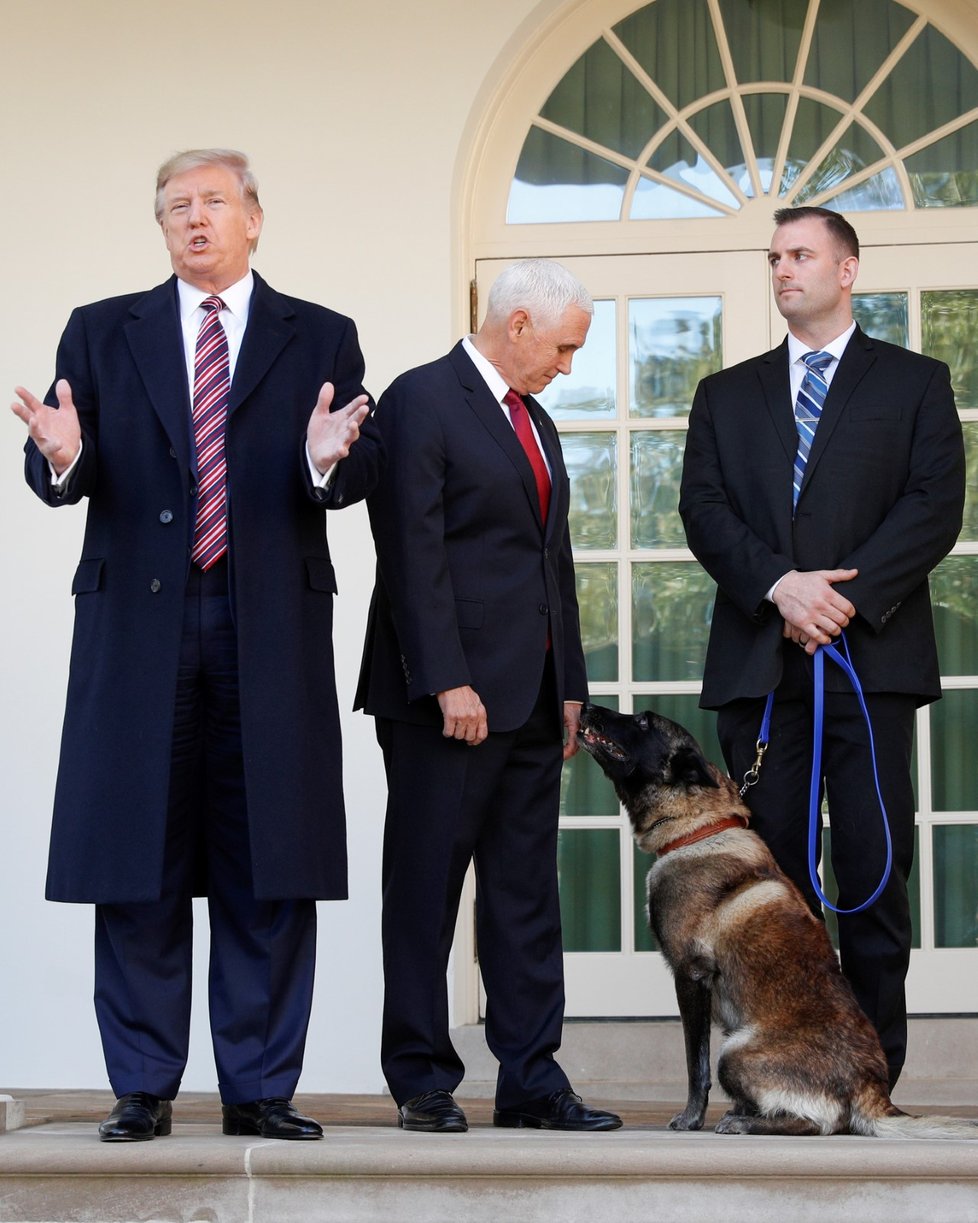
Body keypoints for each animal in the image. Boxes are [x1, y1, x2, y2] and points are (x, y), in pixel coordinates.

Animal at [577, 704, 973, 1139]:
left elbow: (695, 1064)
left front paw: (690, 1118)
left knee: (820, 1123)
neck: (700, 828)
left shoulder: (690, 974)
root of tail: (872, 1088)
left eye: (644, 721)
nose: (586, 706)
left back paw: (742, 1122)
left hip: (734, 1051)